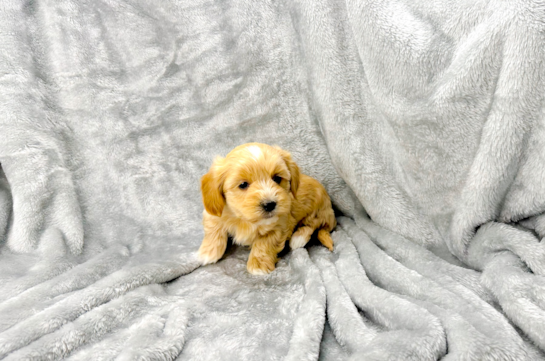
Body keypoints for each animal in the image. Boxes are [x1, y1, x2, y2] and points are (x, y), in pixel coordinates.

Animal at [199, 142, 336, 274]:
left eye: (277, 178)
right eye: (243, 184)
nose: (269, 204)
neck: (245, 219)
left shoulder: (280, 225)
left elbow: (265, 244)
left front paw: (258, 266)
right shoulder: (216, 211)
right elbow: (213, 229)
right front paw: (207, 253)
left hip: (317, 211)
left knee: (313, 225)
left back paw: (298, 239)